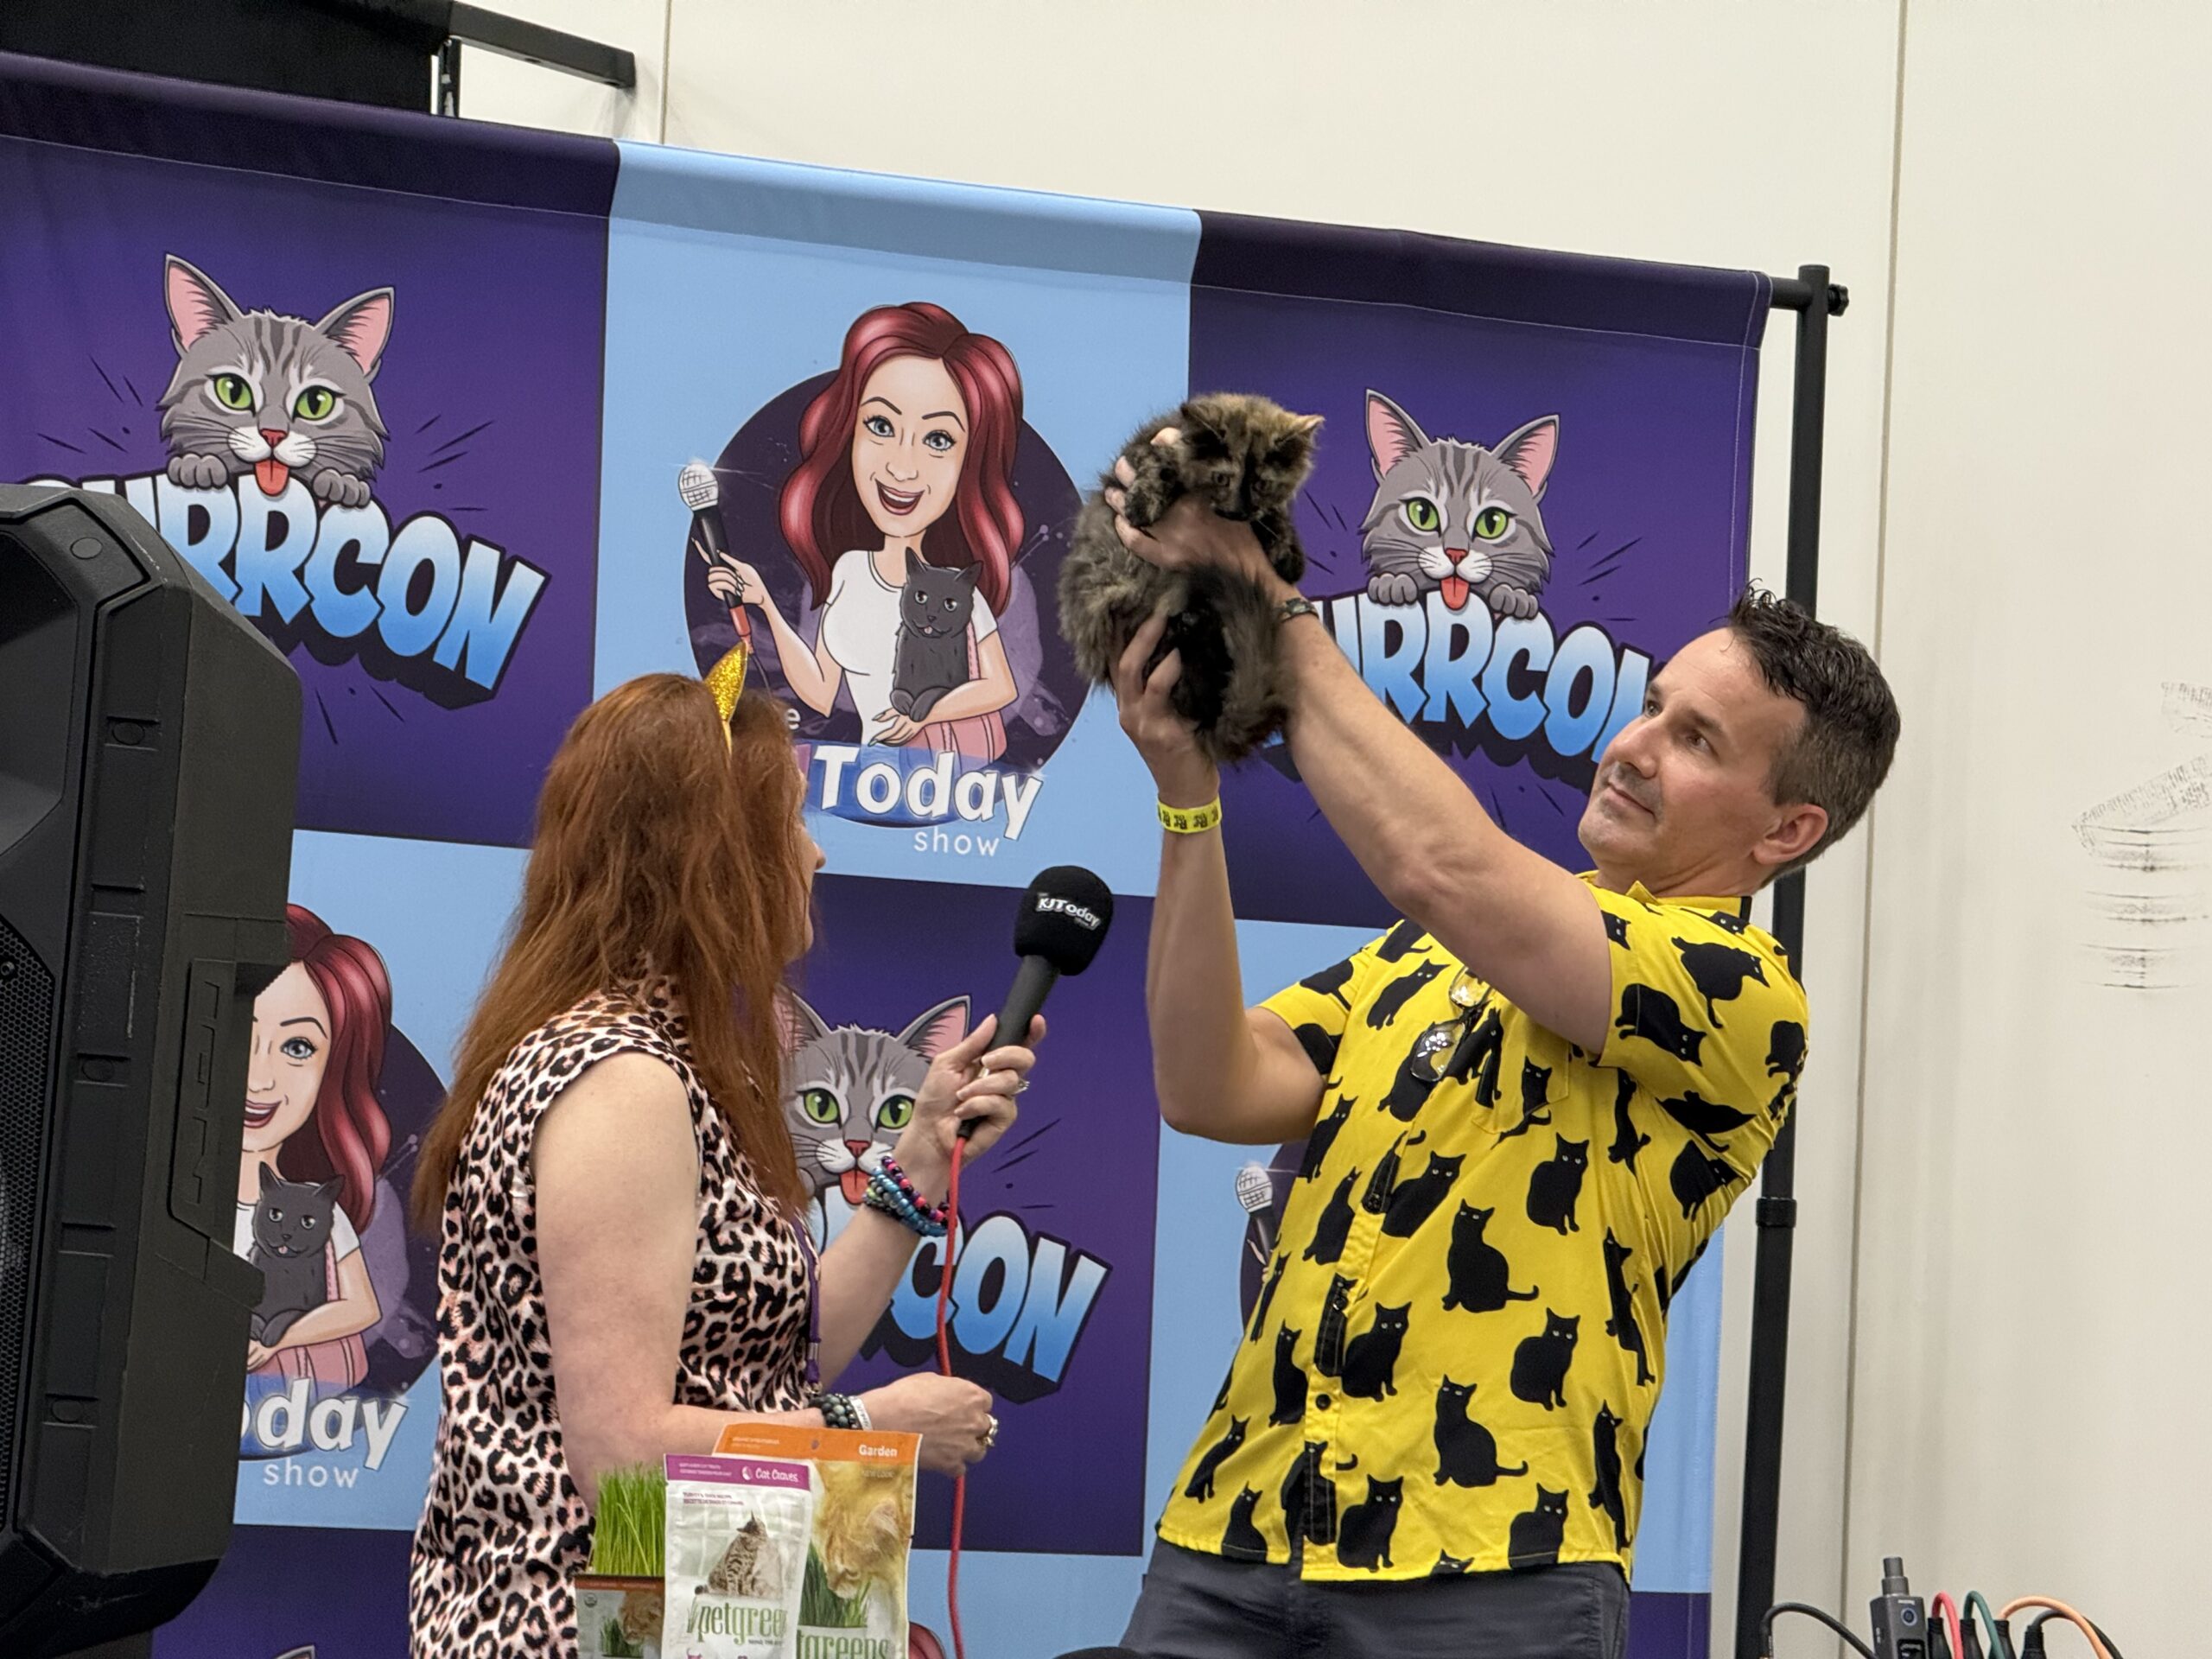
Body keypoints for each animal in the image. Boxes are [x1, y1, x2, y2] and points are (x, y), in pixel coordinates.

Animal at [248, 1166, 339, 1346]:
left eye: (308, 1222)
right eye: (275, 1215)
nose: (286, 1235)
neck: (284, 1271)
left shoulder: (311, 1307)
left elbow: (289, 1313)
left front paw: (268, 1335)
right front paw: (256, 1327)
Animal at [890, 551, 983, 721]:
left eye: (950, 604)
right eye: (920, 597)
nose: (931, 616)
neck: (930, 649)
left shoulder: (955, 685)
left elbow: (935, 690)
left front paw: (917, 710)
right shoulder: (901, 676)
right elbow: (896, 693)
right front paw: (905, 704)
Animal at [1059, 393, 1323, 765]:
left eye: (1261, 484)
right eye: (1222, 479)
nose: (1237, 511)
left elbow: (1274, 516)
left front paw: (1287, 552)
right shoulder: (1144, 452)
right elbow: (1160, 465)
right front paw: (1142, 503)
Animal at [1432, 1377, 1526, 1489]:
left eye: (1459, 1392)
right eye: (1446, 1389)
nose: (1449, 1393)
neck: (1450, 1418)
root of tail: (1495, 1466)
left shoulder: (1447, 1453)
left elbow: (1444, 1467)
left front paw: (1439, 1481)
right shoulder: (1442, 1451)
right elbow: (1441, 1466)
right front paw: (1437, 1474)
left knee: (1489, 1481)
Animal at [1441, 1202, 1539, 1314]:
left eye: (1476, 1217)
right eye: (1463, 1213)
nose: (1467, 1217)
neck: (1466, 1242)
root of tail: (1505, 1291)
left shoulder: (1457, 1276)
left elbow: (1454, 1291)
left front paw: (1448, 1305)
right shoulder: (1453, 1274)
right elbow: (1451, 1289)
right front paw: (1447, 1299)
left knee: (1498, 1305)